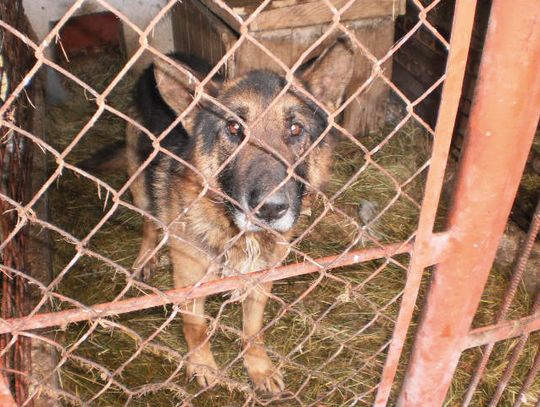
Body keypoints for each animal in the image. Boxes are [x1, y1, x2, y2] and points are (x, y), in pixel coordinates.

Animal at [94, 39, 354, 394]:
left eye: (295, 129)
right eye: (233, 128)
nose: (270, 209)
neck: (234, 231)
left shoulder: (261, 279)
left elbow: (253, 330)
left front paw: (259, 367)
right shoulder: (189, 279)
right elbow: (196, 327)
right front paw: (203, 364)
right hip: (140, 181)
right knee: (149, 221)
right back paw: (146, 258)